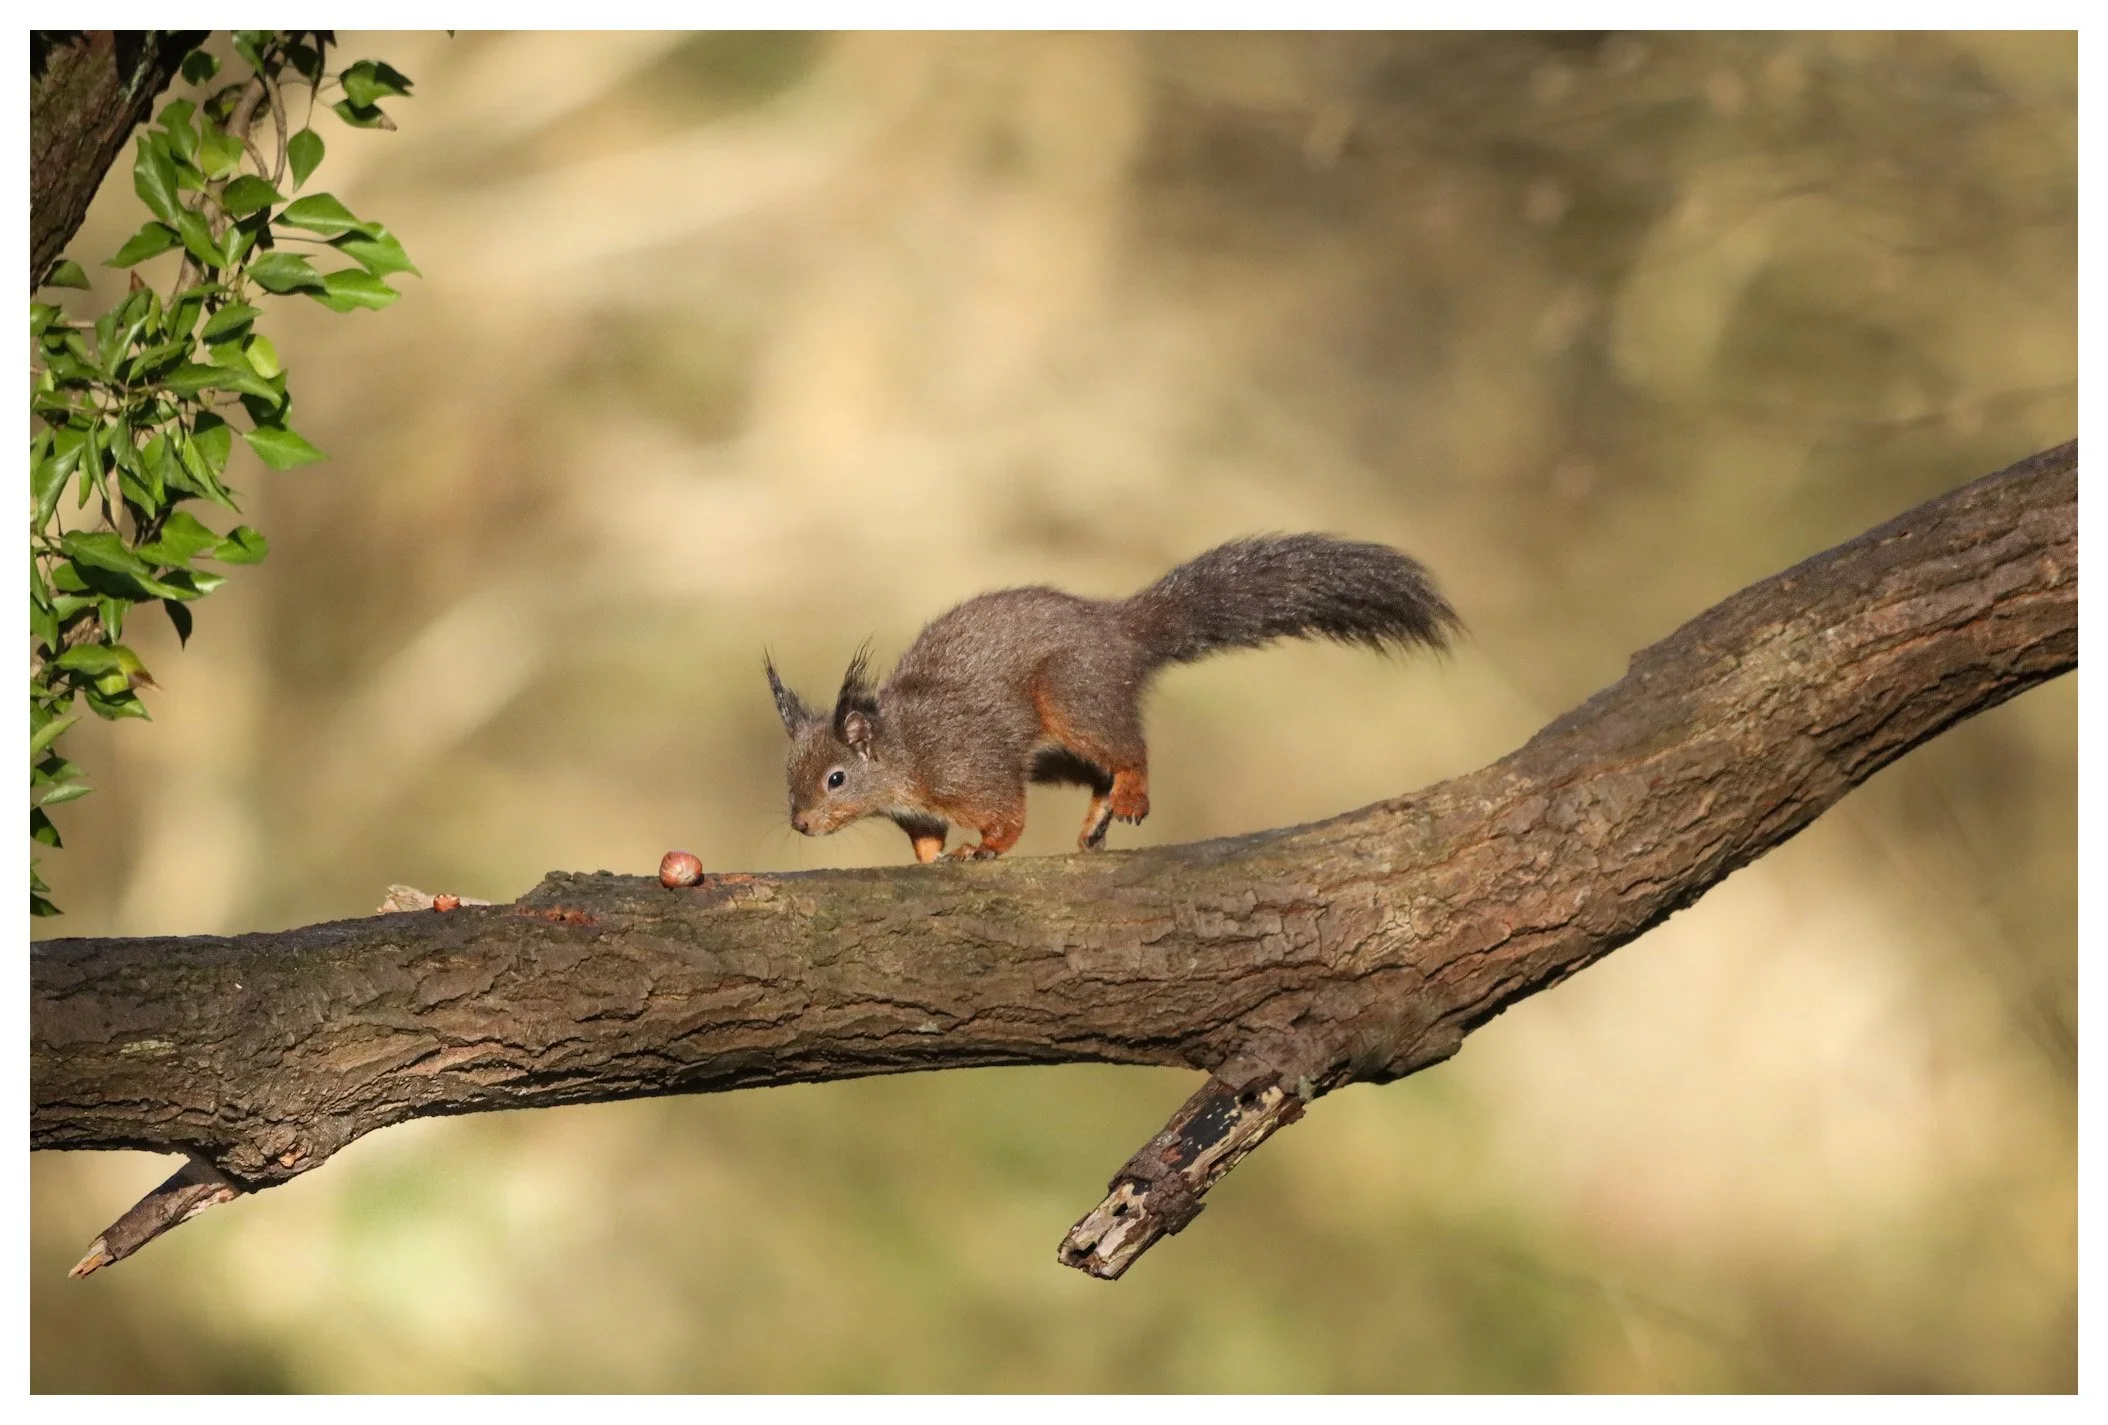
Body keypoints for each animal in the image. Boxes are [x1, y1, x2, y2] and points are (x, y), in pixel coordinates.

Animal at [765, 533, 1461, 863]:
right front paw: (929, 860)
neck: (903, 752)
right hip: (1056, 756)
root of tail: (1120, 631)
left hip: (1073, 698)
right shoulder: (918, 808)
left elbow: (1003, 814)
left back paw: (1130, 795)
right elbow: (925, 835)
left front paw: (983, 847)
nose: (800, 824)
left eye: (834, 778)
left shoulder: (968, 765)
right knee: (1094, 772)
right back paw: (1099, 812)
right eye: (789, 775)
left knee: (1128, 751)